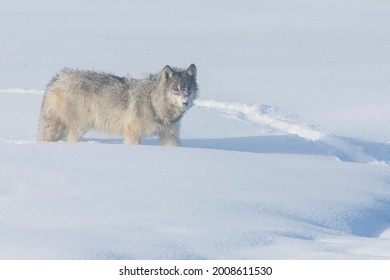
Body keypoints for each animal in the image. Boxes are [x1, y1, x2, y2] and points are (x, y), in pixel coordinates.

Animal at [37, 64, 198, 145]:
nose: (185, 102)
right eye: (176, 89)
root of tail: (58, 79)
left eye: (188, 89)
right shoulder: (133, 134)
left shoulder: (170, 136)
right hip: (79, 127)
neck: (154, 104)